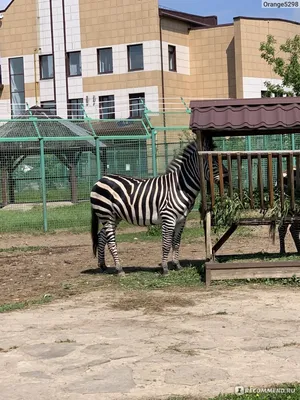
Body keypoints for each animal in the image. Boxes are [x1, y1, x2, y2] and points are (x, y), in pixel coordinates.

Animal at [90, 140, 229, 276]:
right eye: (213, 161)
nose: (227, 178)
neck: (180, 186)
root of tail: (100, 179)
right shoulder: (168, 217)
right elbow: (166, 243)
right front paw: (165, 269)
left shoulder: (181, 219)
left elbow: (176, 242)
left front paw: (177, 265)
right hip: (106, 214)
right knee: (111, 240)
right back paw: (119, 269)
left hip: (115, 216)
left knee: (101, 236)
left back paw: (103, 266)